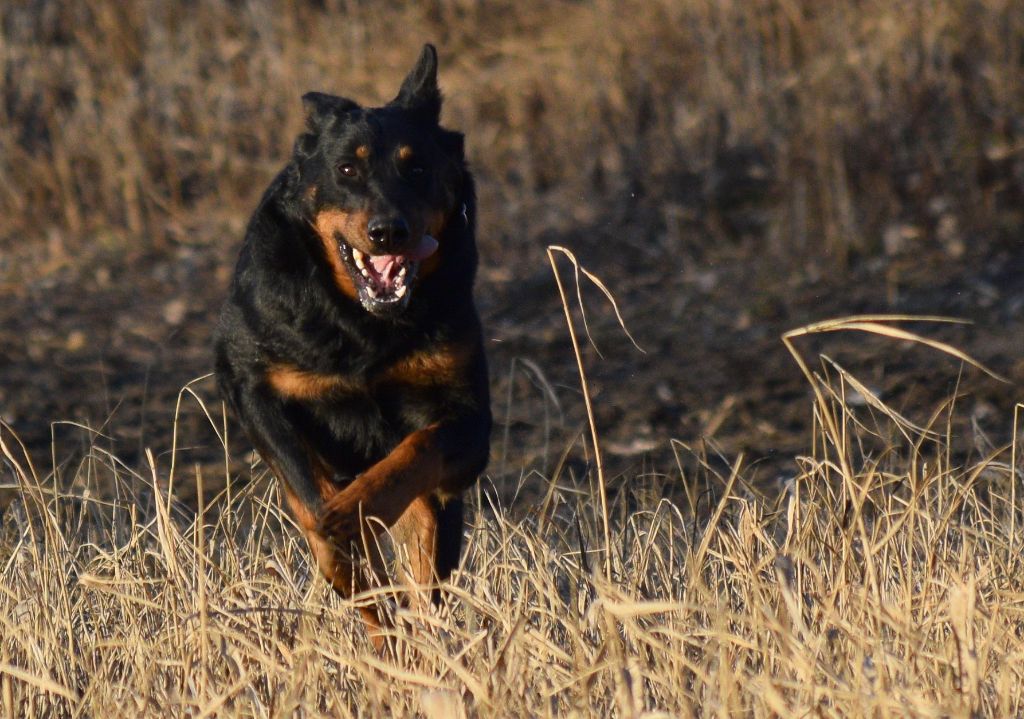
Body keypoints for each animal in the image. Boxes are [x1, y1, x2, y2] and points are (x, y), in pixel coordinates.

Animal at [214, 44, 491, 643]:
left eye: (417, 166)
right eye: (346, 169)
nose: (389, 231)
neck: (363, 324)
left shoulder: (468, 421)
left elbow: (416, 451)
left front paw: (358, 511)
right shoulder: (253, 388)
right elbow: (304, 482)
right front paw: (338, 537)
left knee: (422, 570)